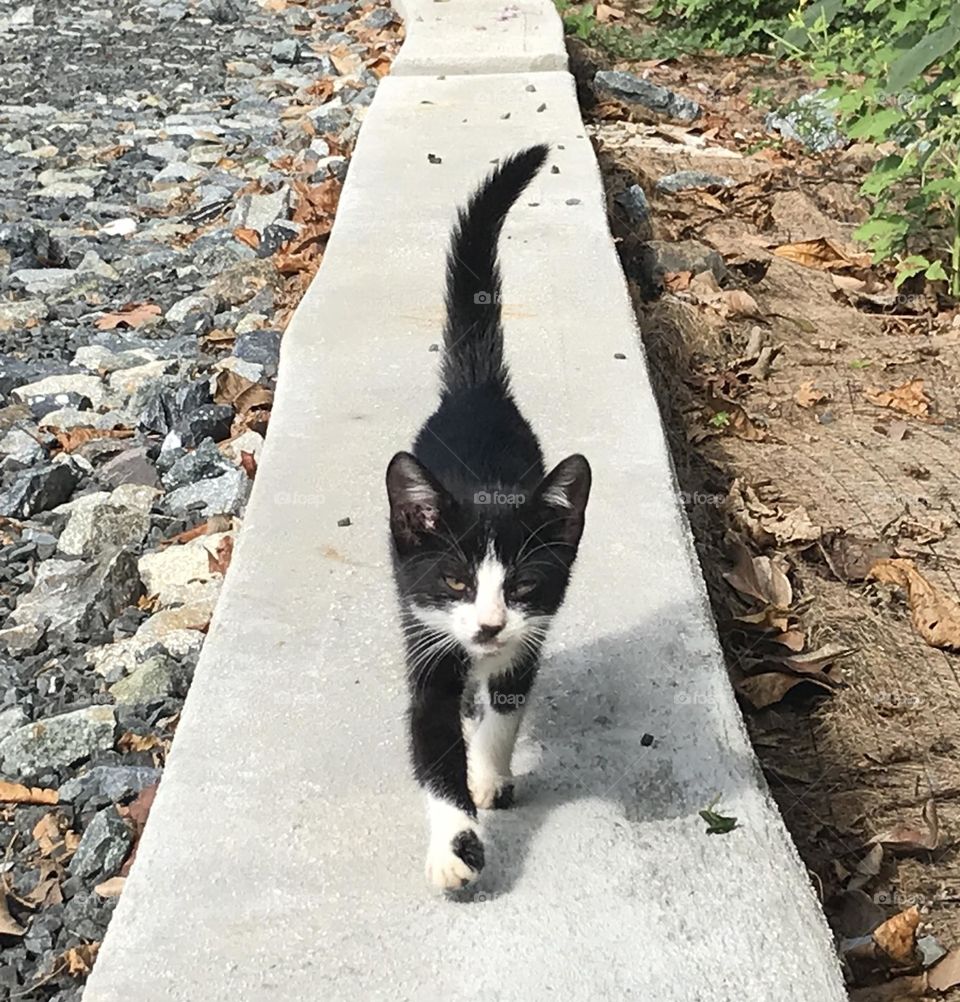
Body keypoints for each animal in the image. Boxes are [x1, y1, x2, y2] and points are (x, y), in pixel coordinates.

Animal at [386, 143, 589, 893]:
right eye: (454, 581)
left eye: (523, 585)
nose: (490, 624)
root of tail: (476, 391)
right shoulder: (426, 643)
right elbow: (432, 743)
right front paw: (456, 845)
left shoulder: (530, 637)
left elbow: (505, 706)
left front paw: (488, 775)